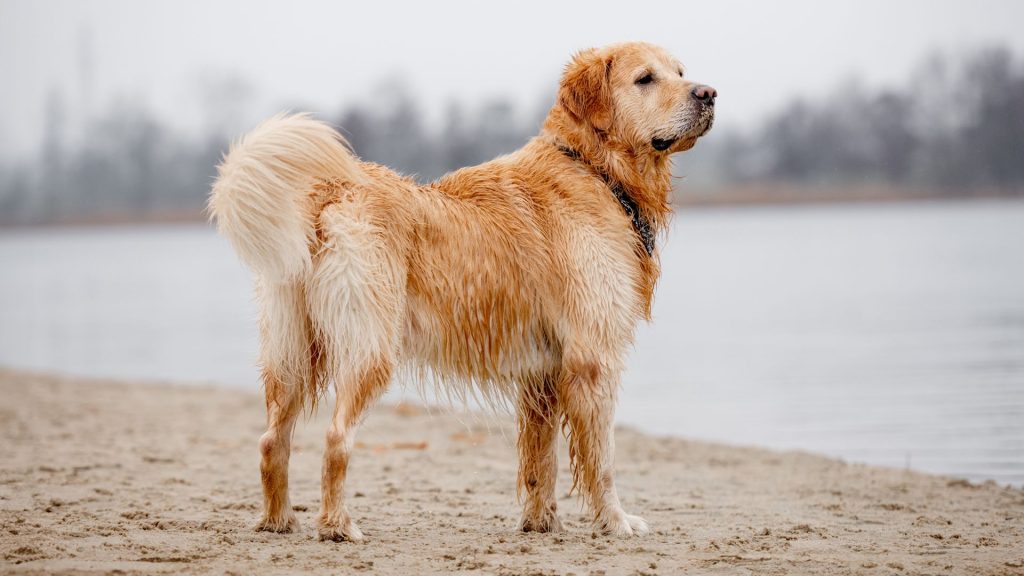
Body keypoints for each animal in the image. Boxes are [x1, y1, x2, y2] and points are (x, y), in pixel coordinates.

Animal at [207, 40, 716, 537]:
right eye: (645, 79)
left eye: (680, 71)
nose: (709, 93)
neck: (594, 170)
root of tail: (328, 194)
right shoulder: (594, 359)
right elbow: (603, 460)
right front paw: (616, 521)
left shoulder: (543, 373)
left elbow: (541, 459)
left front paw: (541, 522)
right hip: (370, 347)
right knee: (335, 438)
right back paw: (337, 525)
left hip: (291, 351)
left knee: (271, 439)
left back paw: (278, 521)